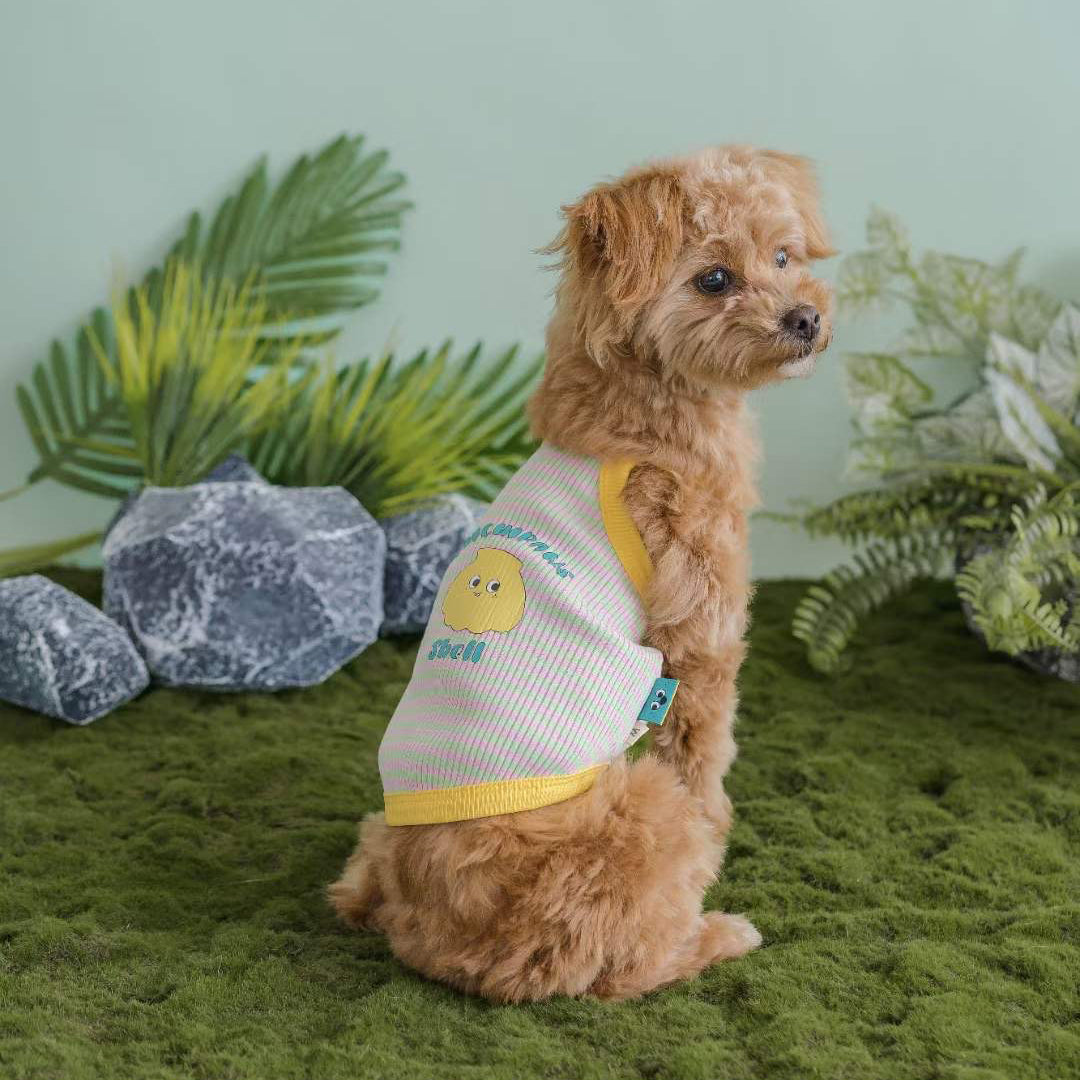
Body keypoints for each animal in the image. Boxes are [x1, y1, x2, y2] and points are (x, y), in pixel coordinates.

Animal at [330, 145, 833, 1002]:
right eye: (713, 279)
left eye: (783, 255)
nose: (805, 317)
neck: (636, 421)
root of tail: (433, 942)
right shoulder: (700, 635)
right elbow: (704, 751)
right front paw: (723, 828)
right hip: (636, 820)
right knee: (617, 965)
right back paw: (720, 934)